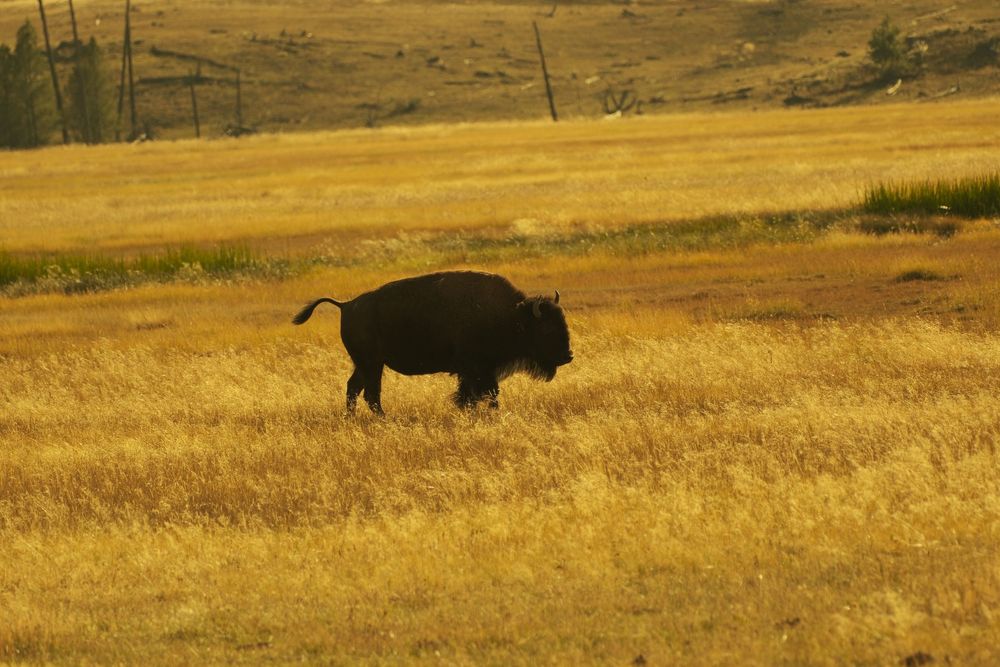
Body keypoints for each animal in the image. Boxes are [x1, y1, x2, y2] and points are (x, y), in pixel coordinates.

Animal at [292, 271, 573, 414]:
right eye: (547, 328)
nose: (568, 355)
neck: (512, 315)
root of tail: (346, 305)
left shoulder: (477, 371)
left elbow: (477, 394)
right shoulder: (476, 368)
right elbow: (485, 393)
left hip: (366, 364)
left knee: (354, 389)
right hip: (372, 364)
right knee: (370, 394)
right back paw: (384, 419)